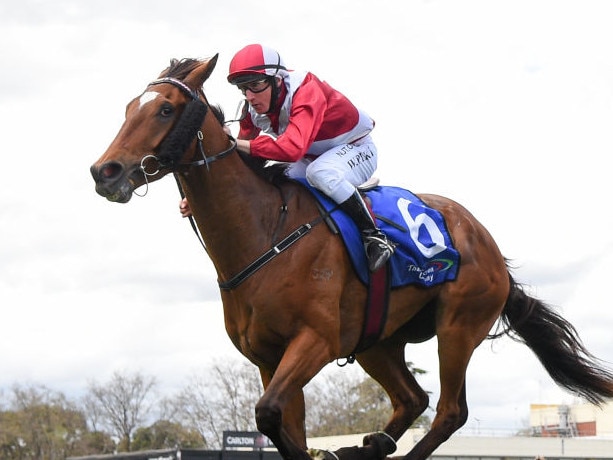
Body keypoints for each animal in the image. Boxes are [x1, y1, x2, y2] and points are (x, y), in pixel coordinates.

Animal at [89, 55, 612, 460]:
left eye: (165, 109)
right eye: (129, 108)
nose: (104, 171)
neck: (265, 233)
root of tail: (487, 242)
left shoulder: (315, 341)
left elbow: (269, 414)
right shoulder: (267, 357)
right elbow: (281, 422)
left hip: (458, 325)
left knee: (449, 411)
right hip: (376, 341)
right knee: (412, 398)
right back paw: (369, 444)